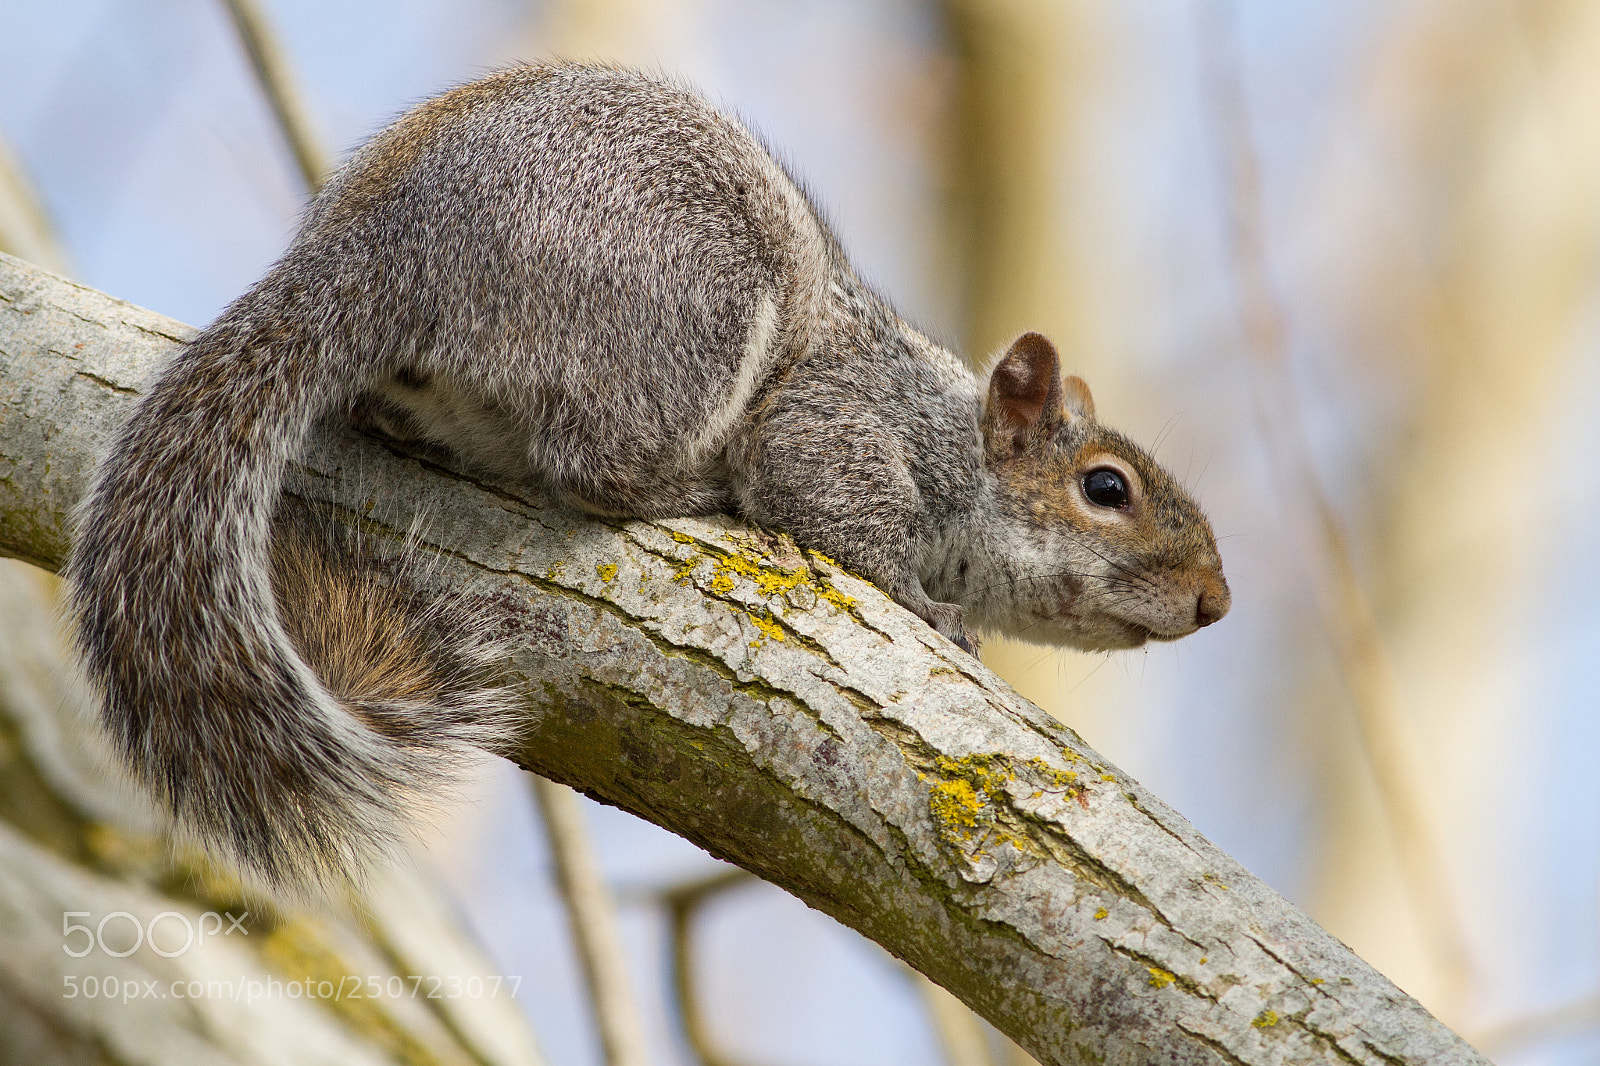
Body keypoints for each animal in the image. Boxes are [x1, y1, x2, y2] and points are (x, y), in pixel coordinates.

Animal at [65, 63, 1229, 889]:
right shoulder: (837, 423)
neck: (948, 424)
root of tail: (387, 250)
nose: (1215, 602)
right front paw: (926, 602)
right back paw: (684, 493)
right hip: (685, 312)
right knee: (597, 465)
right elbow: (829, 505)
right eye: (1107, 489)